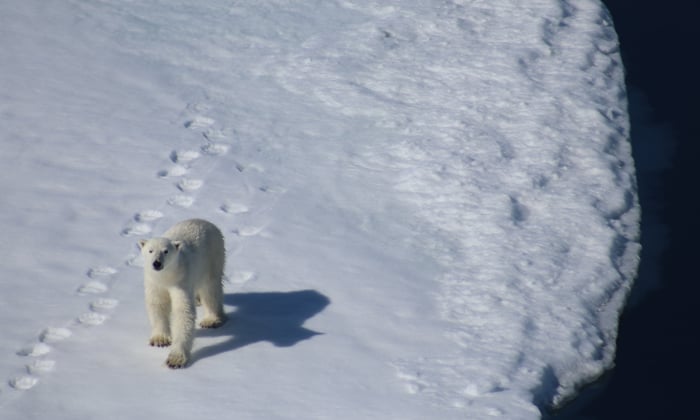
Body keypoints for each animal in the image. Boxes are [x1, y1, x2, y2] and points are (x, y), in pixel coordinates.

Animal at [138, 218, 227, 368]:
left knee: (210, 289)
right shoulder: (154, 282)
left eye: (166, 251)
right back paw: (198, 301)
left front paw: (175, 359)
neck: (167, 277)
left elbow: (183, 311)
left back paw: (211, 320)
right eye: (150, 250)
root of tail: (207, 222)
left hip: (212, 256)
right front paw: (160, 340)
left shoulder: (181, 280)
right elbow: (157, 304)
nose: (157, 263)